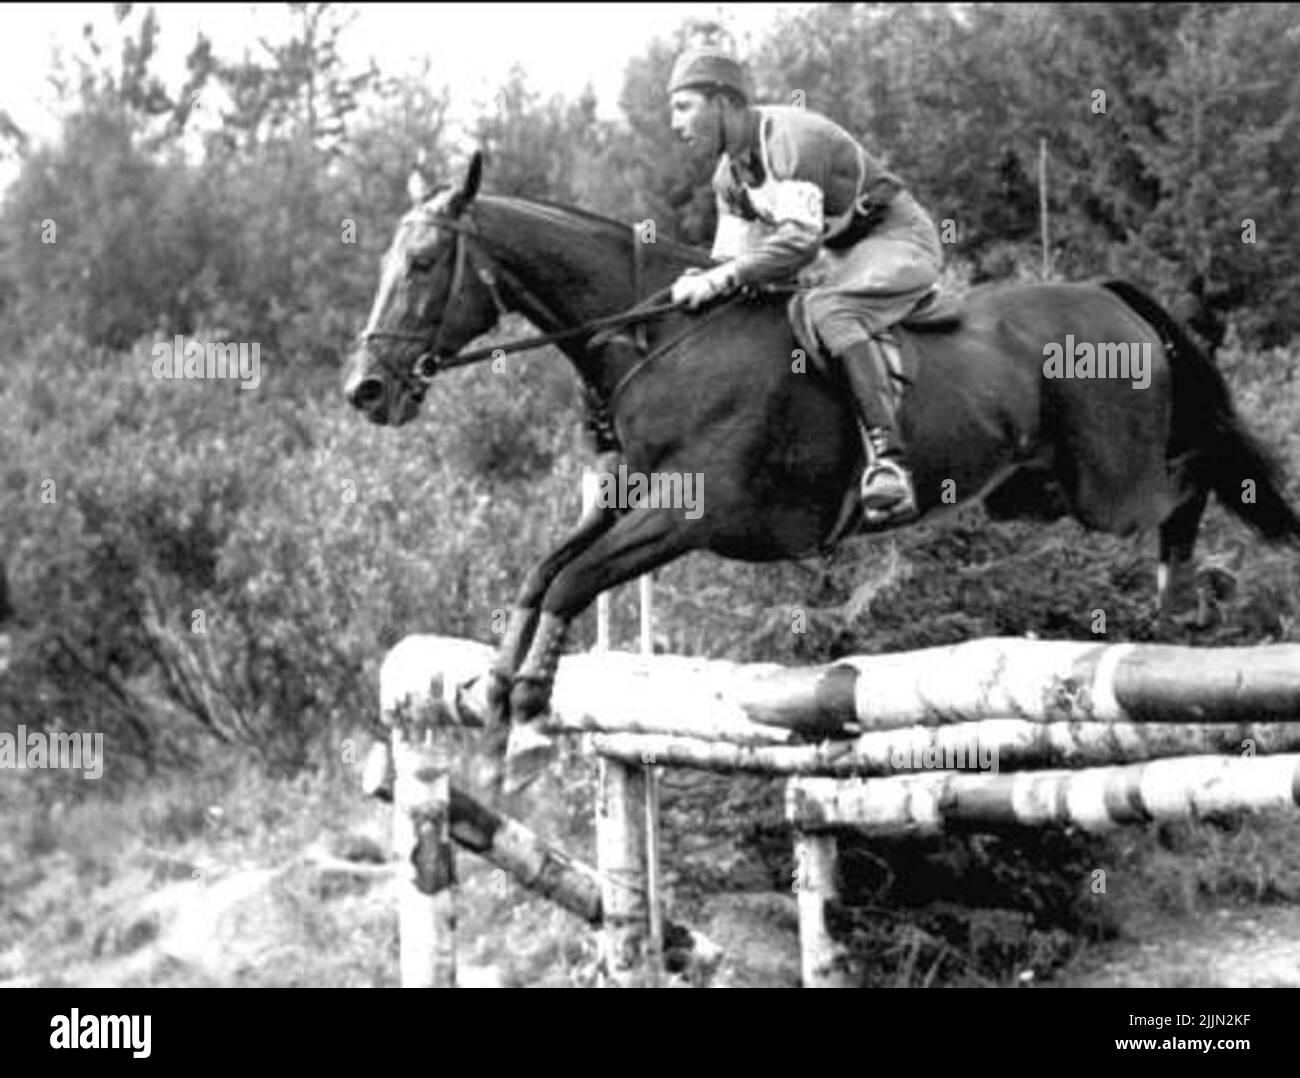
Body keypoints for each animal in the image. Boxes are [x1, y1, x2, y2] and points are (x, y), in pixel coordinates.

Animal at [343, 151, 1300, 780]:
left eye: (423, 263)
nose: (366, 390)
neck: (659, 338)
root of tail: (1109, 295)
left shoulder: (689, 516)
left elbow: (574, 581)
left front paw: (531, 713)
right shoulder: (625, 499)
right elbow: (543, 573)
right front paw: (497, 691)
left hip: (1109, 484)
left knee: (1192, 480)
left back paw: (1191, 591)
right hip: (1032, 493)